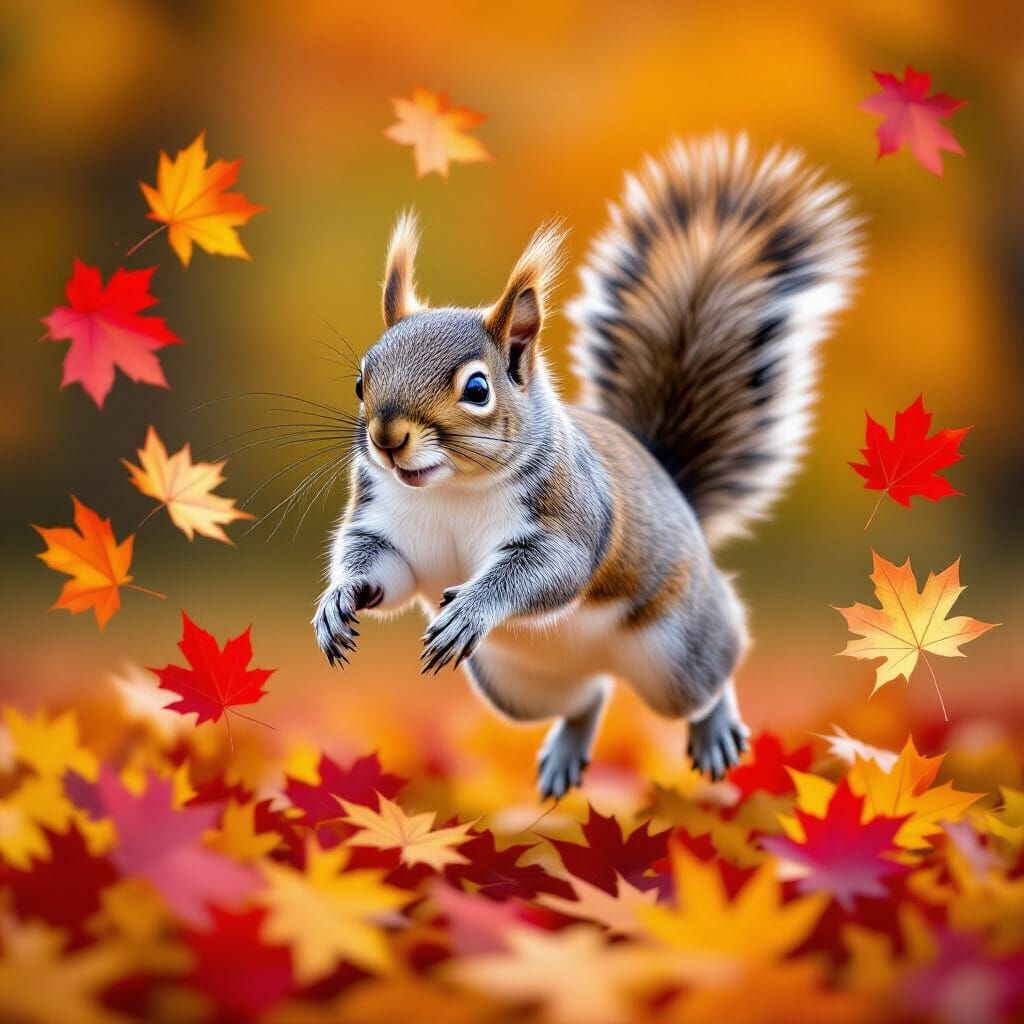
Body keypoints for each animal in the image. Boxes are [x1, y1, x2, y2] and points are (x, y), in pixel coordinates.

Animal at [313, 135, 860, 799]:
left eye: (477, 388)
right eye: (361, 381)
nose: (387, 438)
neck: (452, 490)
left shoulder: (571, 516)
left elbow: (548, 570)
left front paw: (470, 609)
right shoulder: (387, 522)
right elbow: (382, 568)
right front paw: (339, 599)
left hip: (678, 654)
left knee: (711, 677)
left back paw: (715, 728)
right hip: (519, 686)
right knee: (586, 701)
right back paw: (568, 748)